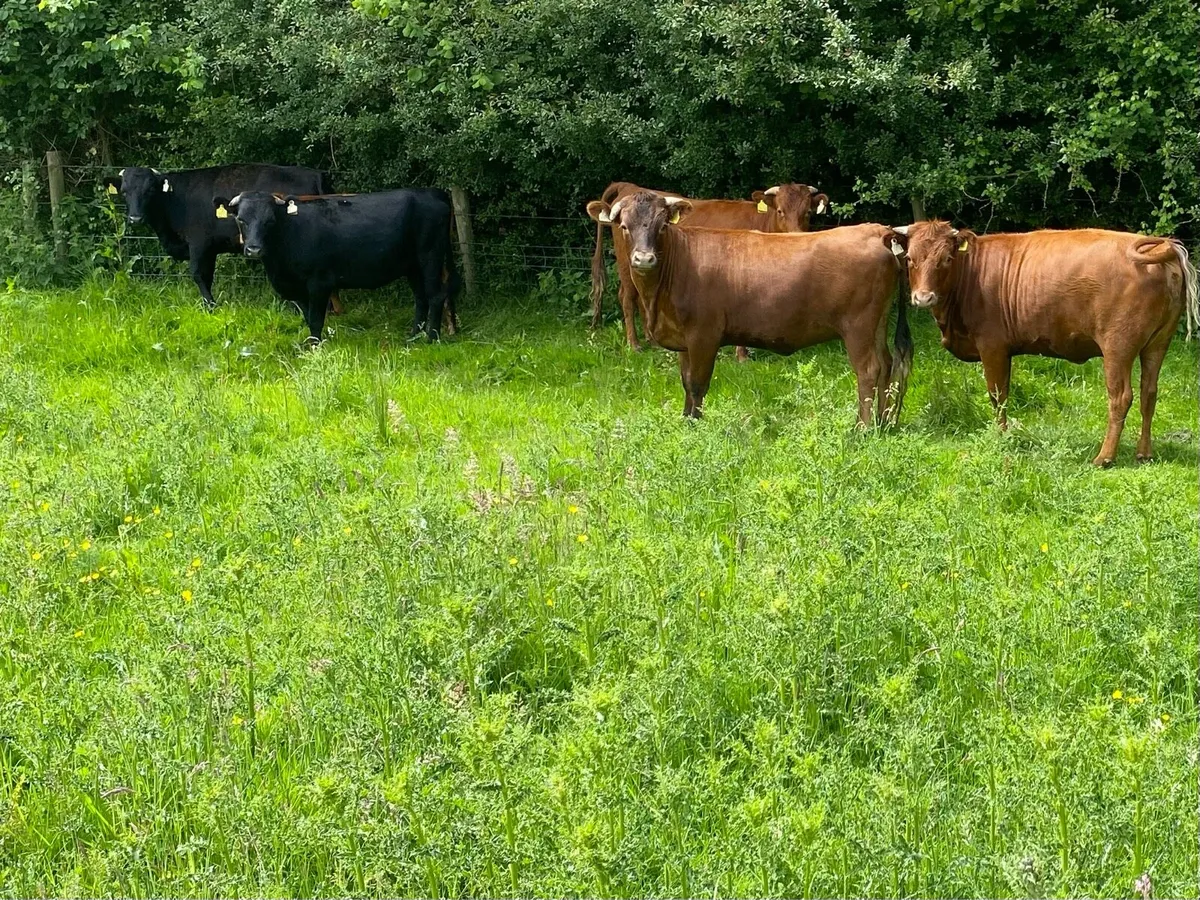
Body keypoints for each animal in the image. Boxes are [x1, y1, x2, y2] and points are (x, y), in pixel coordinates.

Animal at [105, 164, 330, 309]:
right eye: (124, 191)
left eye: (150, 190)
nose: (135, 218)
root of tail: (316, 174)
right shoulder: (211, 248)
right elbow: (208, 275)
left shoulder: (198, 244)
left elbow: (198, 274)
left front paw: (210, 305)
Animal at [212, 189, 460, 345]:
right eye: (241, 219)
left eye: (270, 221)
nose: (253, 249)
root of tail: (434, 192)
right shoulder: (299, 288)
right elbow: (307, 316)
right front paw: (311, 343)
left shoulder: (319, 282)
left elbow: (315, 317)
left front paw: (315, 346)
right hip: (412, 265)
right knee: (421, 298)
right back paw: (413, 337)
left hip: (430, 257)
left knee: (436, 295)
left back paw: (431, 338)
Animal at [589, 181, 830, 356]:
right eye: (780, 211)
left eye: (808, 213)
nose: (796, 235)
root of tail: (628, 186)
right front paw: (741, 355)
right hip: (627, 264)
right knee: (627, 297)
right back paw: (635, 344)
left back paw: (652, 340)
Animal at [889, 220, 1198, 466]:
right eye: (910, 259)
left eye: (946, 259)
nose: (923, 297)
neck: (971, 274)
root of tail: (1163, 250)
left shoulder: (992, 346)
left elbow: (998, 396)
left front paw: (1001, 437)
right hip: (1157, 344)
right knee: (1149, 393)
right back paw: (1144, 453)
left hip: (1118, 346)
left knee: (1121, 397)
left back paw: (1104, 457)